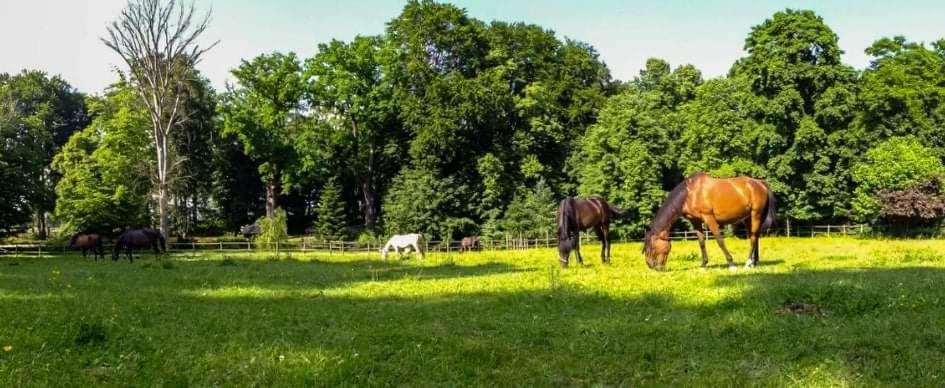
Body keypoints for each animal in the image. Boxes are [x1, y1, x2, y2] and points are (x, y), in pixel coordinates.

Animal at [640, 174, 776, 272]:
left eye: (651, 247)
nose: (651, 266)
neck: (690, 194)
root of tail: (760, 183)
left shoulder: (709, 218)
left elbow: (719, 240)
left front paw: (731, 264)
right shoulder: (695, 221)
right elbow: (701, 243)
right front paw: (703, 265)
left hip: (755, 215)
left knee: (753, 238)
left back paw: (748, 263)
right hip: (748, 218)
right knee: (755, 237)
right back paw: (754, 262)